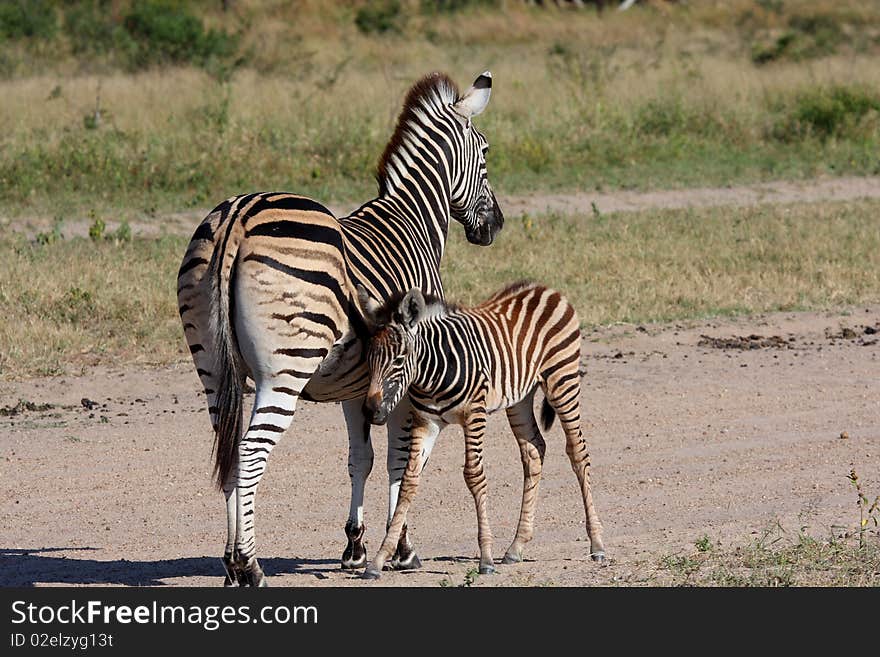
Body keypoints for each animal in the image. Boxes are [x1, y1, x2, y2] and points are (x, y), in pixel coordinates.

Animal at [177, 70, 502, 584]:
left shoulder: (359, 383)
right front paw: (400, 548)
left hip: (212, 369)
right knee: (249, 454)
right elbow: (402, 460)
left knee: (227, 454)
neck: (411, 220)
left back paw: (230, 564)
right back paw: (249, 564)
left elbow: (361, 459)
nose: (495, 226)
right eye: (485, 151)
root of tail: (238, 217)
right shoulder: (410, 376)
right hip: (284, 371)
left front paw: (356, 547)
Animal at [358, 280, 604, 576]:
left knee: (577, 452)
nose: (371, 412)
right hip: (520, 398)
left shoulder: (474, 414)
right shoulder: (425, 422)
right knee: (534, 451)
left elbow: (474, 475)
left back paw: (597, 544)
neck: (432, 375)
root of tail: (545, 288)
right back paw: (516, 547)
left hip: (562, 380)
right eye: (369, 357)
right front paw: (379, 558)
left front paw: (485, 557)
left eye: (400, 359)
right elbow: (408, 480)